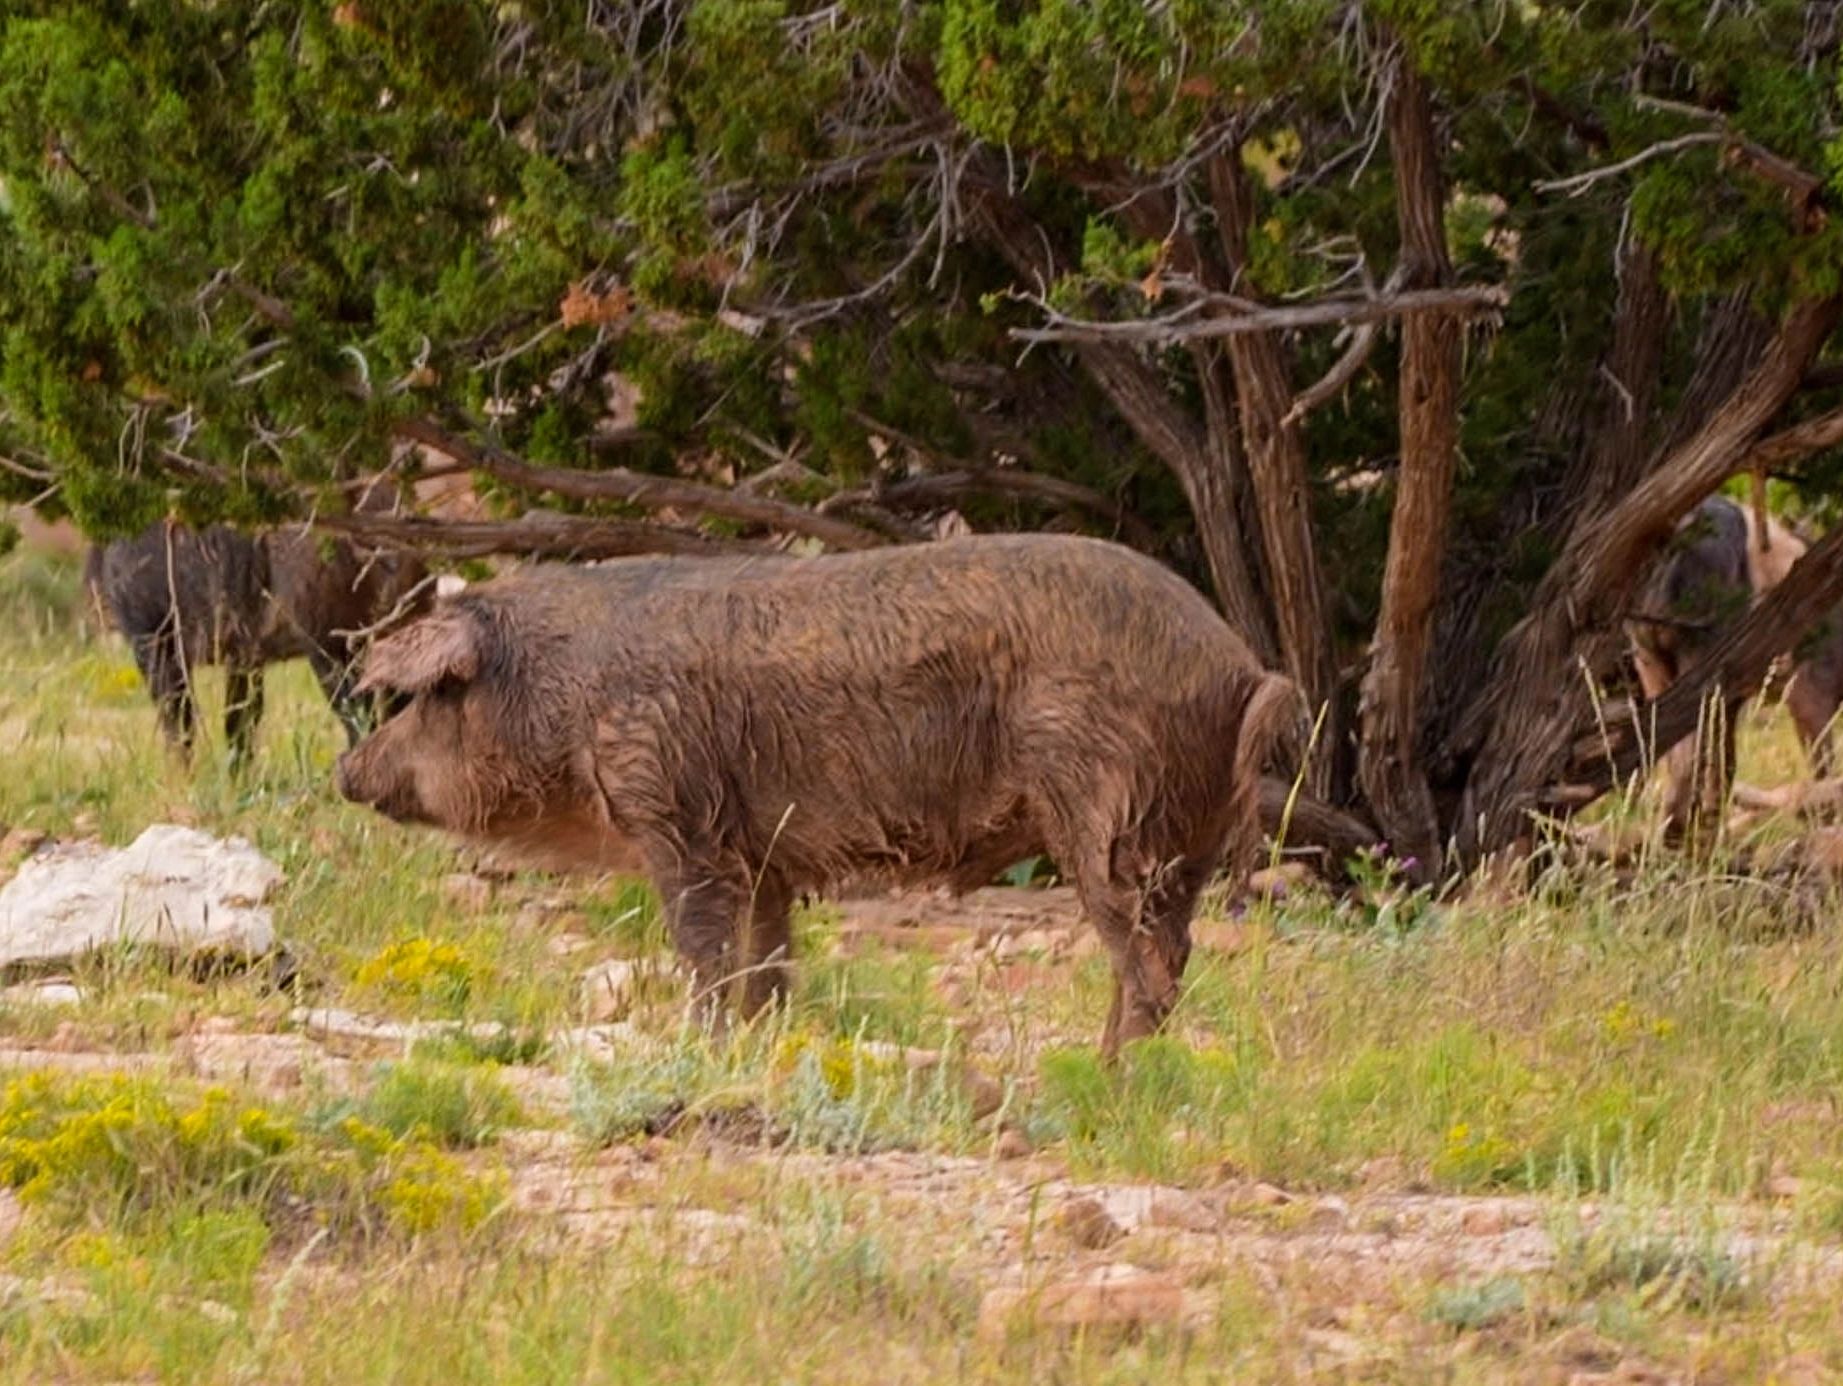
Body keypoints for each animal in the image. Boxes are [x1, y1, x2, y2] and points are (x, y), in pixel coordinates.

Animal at [84, 486, 429, 764]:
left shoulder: (154, 641)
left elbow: (179, 728)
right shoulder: (244, 659)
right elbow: (239, 724)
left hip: (334, 649)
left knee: (362, 722)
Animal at [335, 533, 1298, 1056]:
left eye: (432, 694)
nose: (346, 771)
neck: (568, 690)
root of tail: (1241, 668)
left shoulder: (671, 811)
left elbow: (702, 949)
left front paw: (700, 1044)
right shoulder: (762, 852)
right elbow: (767, 961)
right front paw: (760, 1043)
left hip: (1106, 814)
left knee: (1147, 965)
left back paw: (1106, 1077)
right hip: (1181, 846)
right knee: (1172, 952)